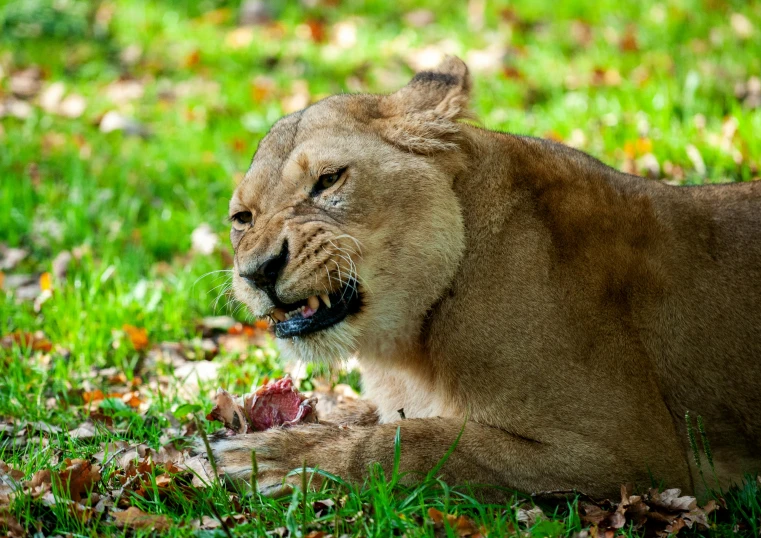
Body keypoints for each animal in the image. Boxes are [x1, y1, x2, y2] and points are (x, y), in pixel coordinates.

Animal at [208, 56, 760, 496]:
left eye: (328, 180)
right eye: (243, 218)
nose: (258, 272)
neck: (411, 345)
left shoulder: (633, 454)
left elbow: (424, 441)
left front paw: (269, 459)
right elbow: (367, 417)